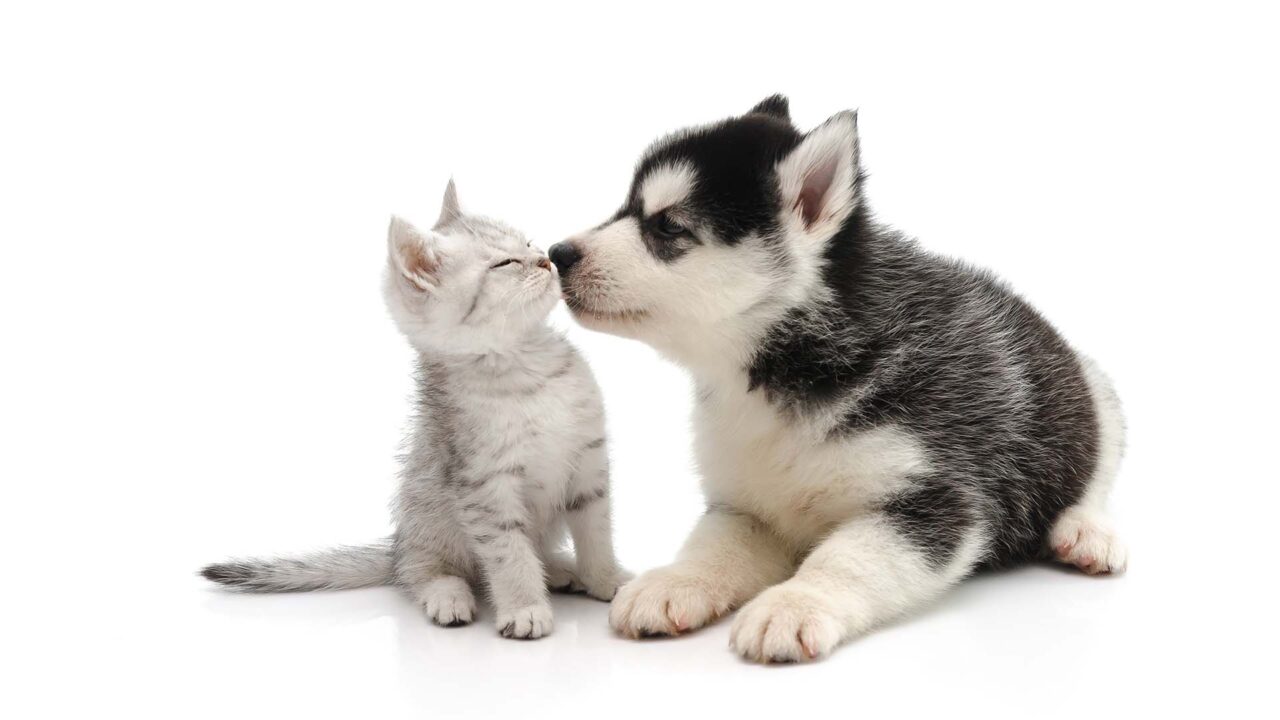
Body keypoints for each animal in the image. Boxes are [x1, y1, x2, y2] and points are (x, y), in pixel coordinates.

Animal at [202, 181, 627, 635]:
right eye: (505, 262)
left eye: (528, 243)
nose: (546, 259)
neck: (528, 366)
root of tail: (397, 545)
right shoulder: (483, 487)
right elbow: (509, 553)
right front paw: (524, 607)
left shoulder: (589, 464)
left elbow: (597, 533)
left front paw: (607, 580)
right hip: (428, 522)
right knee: (423, 572)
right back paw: (448, 595)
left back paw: (561, 569)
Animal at [550, 96, 1121, 661]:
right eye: (626, 208)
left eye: (668, 226)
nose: (558, 254)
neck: (783, 370)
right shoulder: (745, 505)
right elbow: (713, 545)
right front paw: (674, 581)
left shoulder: (935, 496)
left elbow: (847, 557)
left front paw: (794, 604)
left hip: (1096, 395)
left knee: (1096, 475)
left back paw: (1086, 532)